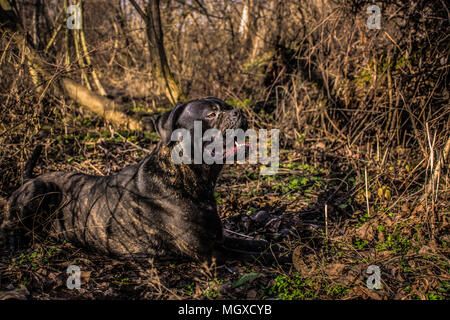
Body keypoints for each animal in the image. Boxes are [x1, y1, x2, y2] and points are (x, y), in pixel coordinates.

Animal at [0, 97, 282, 262]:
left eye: (226, 106)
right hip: (37, 190)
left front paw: (267, 243)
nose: (240, 111)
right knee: (8, 221)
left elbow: (252, 244)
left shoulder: (219, 239)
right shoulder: (208, 252)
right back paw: (12, 241)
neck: (191, 176)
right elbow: (251, 257)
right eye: (211, 114)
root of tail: (29, 177)